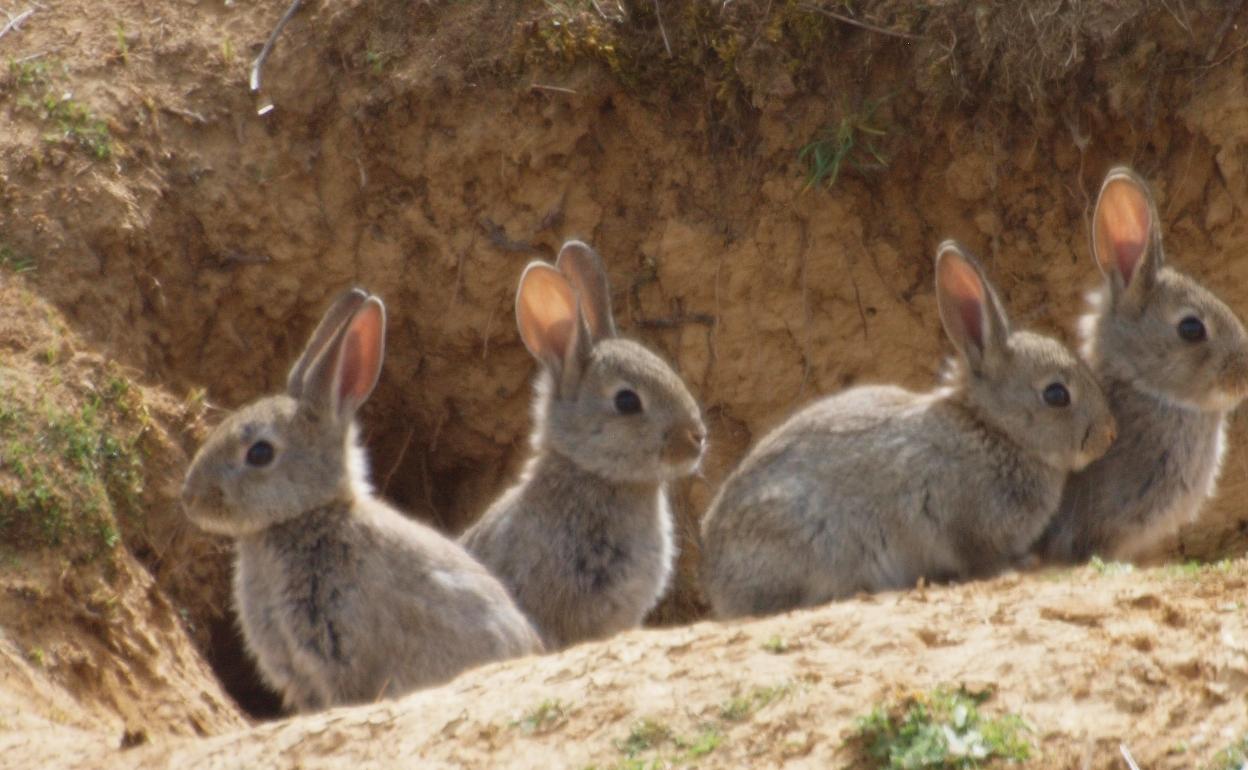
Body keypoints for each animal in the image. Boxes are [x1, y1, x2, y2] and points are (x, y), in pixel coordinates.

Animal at [698, 239, 1118, 618]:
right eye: (1056, 394)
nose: (1108, 434)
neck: (995, 429)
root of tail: (716, 577)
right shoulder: (964, 522)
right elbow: (980, 560)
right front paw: (1020, 565)